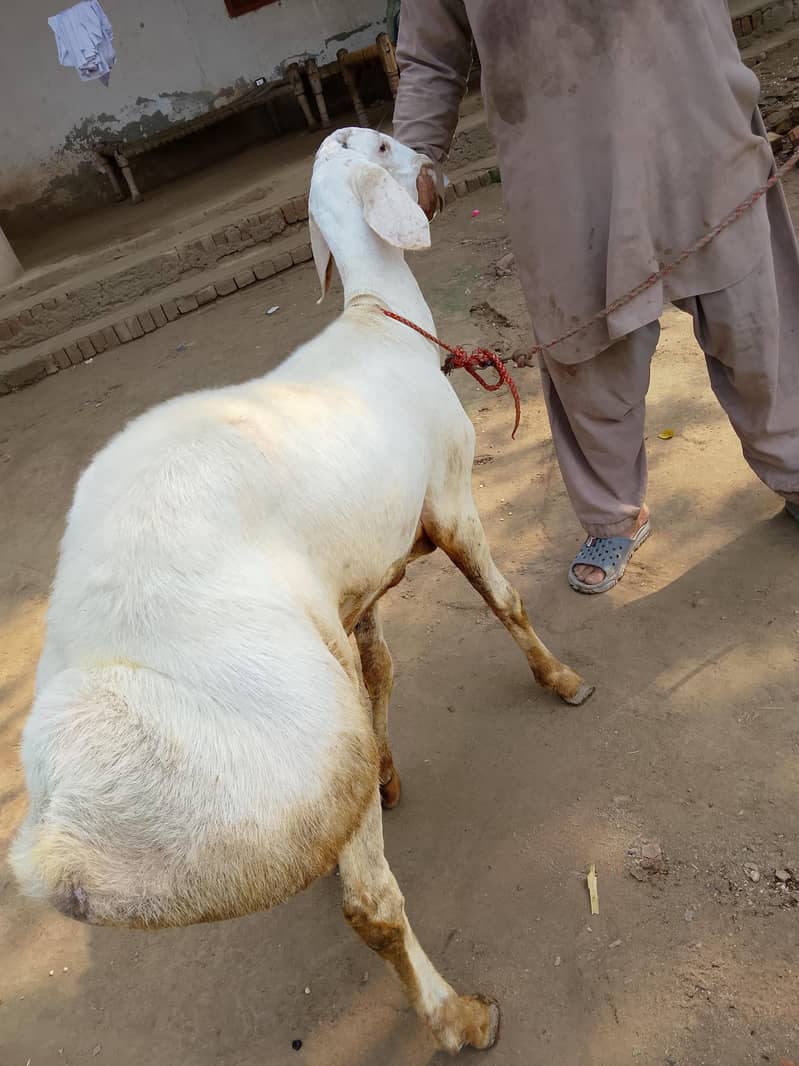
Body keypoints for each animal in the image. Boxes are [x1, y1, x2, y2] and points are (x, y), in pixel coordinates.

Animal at [11, 127, 593, 1054]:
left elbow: (383, 669)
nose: (432, 155)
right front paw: (562, 681)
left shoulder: (357, 583)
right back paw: (460, 1018)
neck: (376, 324)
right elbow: (504, 599)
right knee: (371, 905)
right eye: (384, 146)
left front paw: (392, 773)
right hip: (306, 740)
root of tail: (66, 841)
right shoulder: (451, 496)